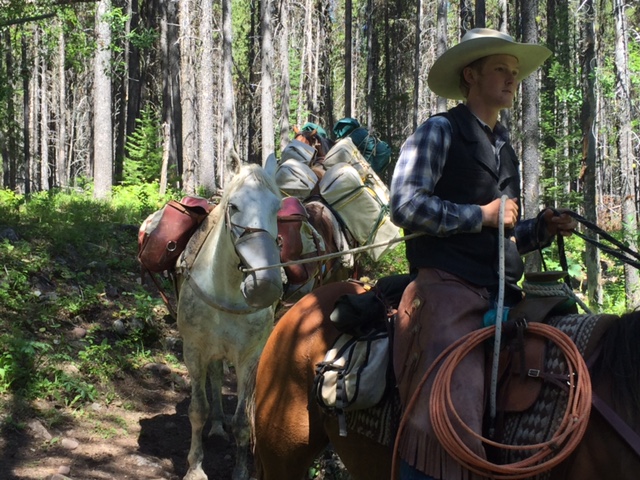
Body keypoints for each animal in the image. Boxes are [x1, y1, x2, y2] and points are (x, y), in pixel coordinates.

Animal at [178, 156, 282, 478]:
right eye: (233, 206)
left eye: (278, 208)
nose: (265, 284)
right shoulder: (194, 350)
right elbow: (197, 410)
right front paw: (195, 467)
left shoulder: (249, 357)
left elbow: (242, 422)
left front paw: (240, 470)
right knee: (212, 379)